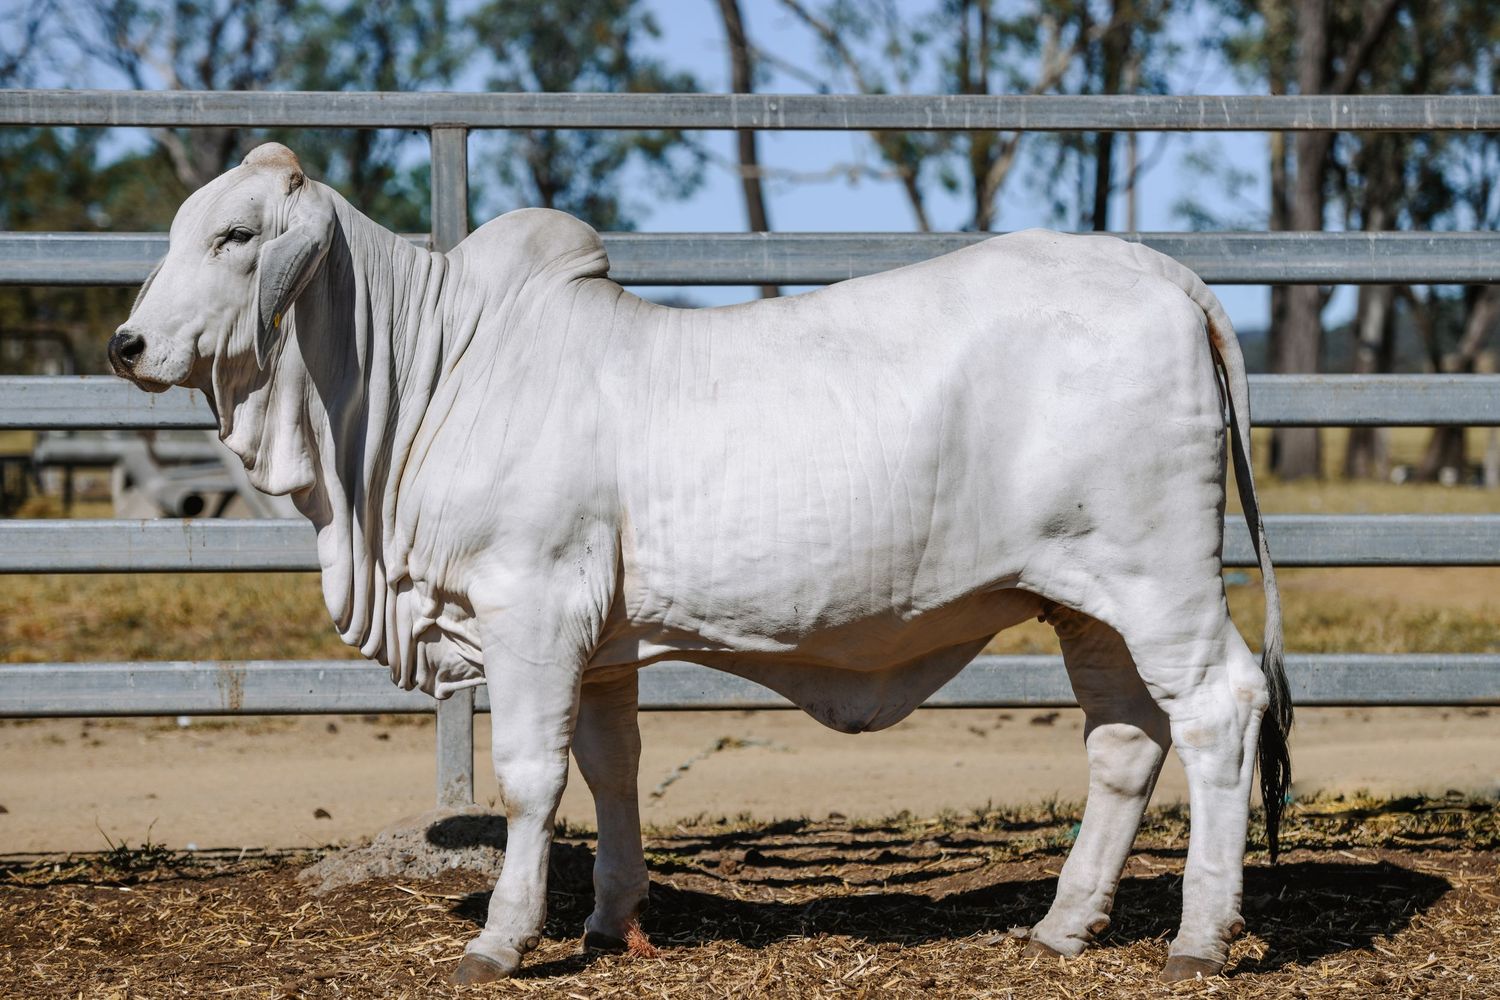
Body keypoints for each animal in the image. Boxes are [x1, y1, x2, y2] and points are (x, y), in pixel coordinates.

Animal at [110, 143, 1290, 984]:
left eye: (235, 233)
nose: (126, 345)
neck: (432, 377)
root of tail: (1159, 270)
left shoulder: (531, 605)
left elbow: (530, 777)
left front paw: (501, 937)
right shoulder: (597, 643)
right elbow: (610, 768)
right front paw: (609, 921)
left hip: (1163, 579)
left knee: (1221, 709)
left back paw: (1199, 938)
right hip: (1085, 600)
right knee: (1124, 742)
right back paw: (1063, 924)